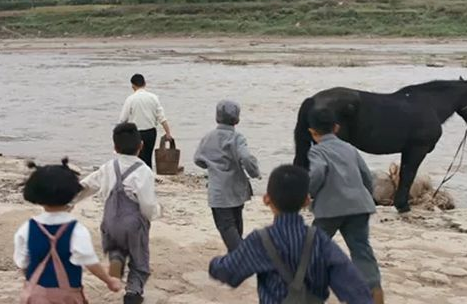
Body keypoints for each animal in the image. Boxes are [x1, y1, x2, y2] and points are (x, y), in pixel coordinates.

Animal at [294, 78, 467, 211]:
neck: (431, 104)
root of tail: (312, 100)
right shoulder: (417, 149)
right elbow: (408, 175)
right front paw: (403, 206)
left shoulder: (407, 150)